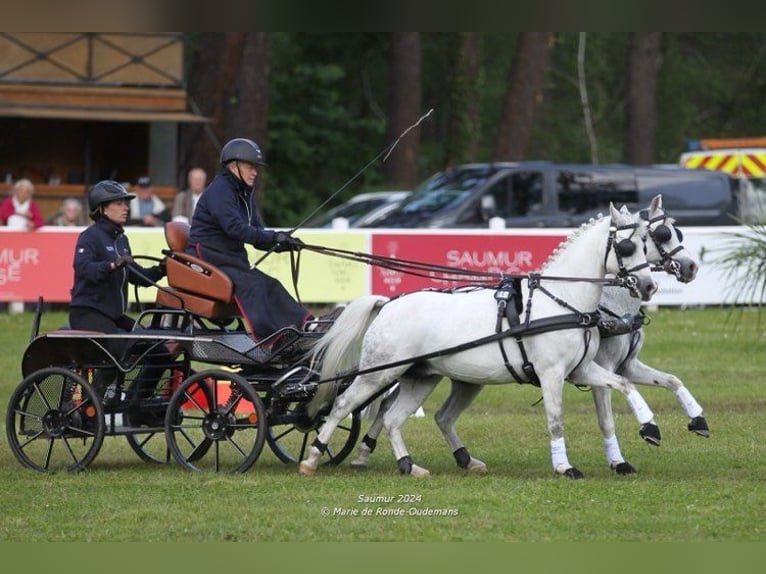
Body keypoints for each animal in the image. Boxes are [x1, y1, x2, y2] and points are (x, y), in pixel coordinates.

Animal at [348, 195, 706, 476]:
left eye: (669, 233)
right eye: (639, 242)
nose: (689, 268)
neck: (568, 299)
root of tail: (390, 302)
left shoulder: (607, 367)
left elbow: (662, 380)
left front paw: (693, 420)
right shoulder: (562, 372)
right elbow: (578, 419)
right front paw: (580, 463)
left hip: (444, 377)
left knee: (426, 414)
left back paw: (451, 460)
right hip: (387, 371)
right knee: (368, 405)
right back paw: (361, 455)